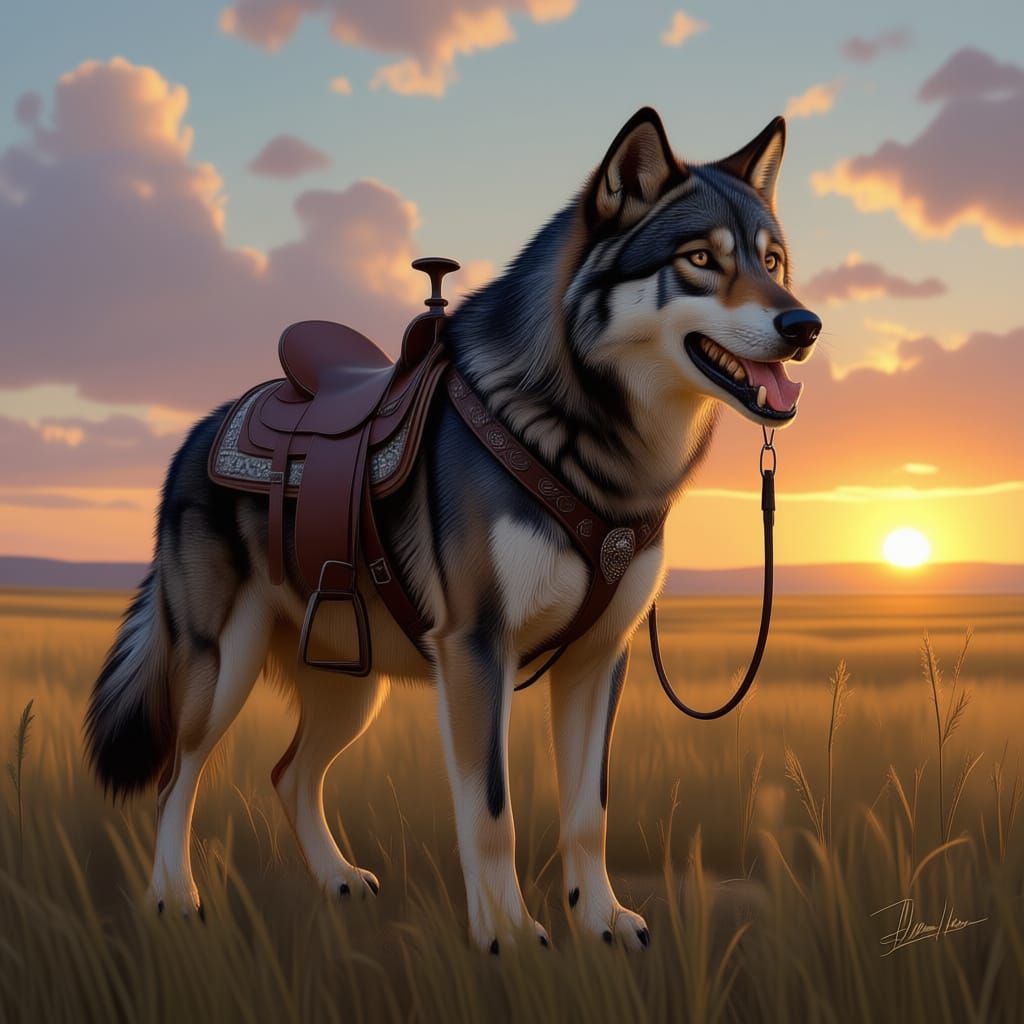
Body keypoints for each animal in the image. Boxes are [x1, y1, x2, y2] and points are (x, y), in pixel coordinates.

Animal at [85, 107, 820, 952]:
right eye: (700, 259)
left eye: (773, 261)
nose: (805, 324)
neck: (584, 442)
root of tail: (198, 431)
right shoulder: (476, 647)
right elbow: (493, 813)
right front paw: (507, 935)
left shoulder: (599, 660)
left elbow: (588, 815)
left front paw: (600, 922)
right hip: (223, 667)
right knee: (178, 775)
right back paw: (174, 898)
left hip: (353, 686)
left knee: (289, 774)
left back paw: (337, 881)